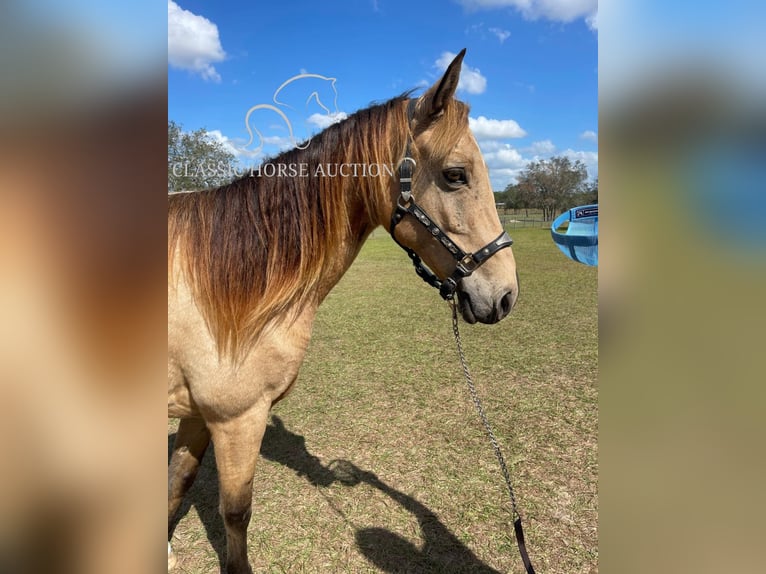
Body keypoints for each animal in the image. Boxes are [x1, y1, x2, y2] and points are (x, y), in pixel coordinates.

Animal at [169, 50, 520, 574]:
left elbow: (176, 486)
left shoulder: (197, 417)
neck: (227, 284)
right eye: (456, 174)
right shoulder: (236, 420)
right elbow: (235, 514)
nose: (505, 295)